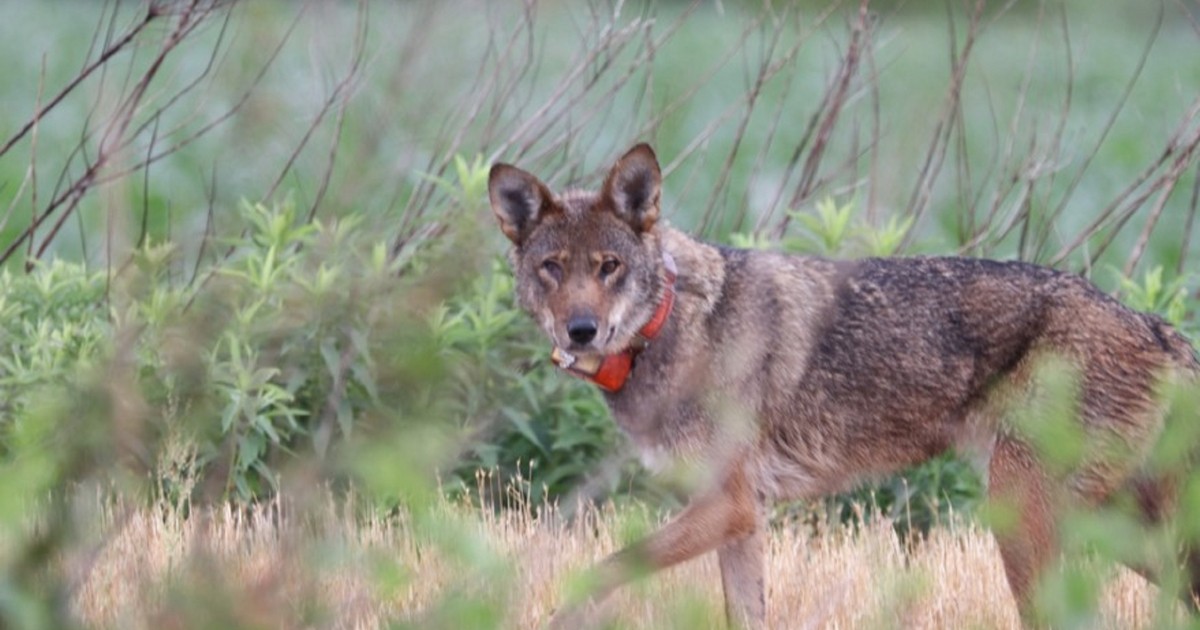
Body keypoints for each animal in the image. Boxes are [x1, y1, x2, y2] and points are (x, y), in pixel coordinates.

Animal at [487, 143, 1200, 628]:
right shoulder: (743, 521)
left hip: (1029, 517)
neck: (673, 323)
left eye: (609, 267)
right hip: (1121, 530)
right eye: (552, 268)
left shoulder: (730, 507)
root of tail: (1157, 326)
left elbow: (599, 568)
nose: (581, 330)